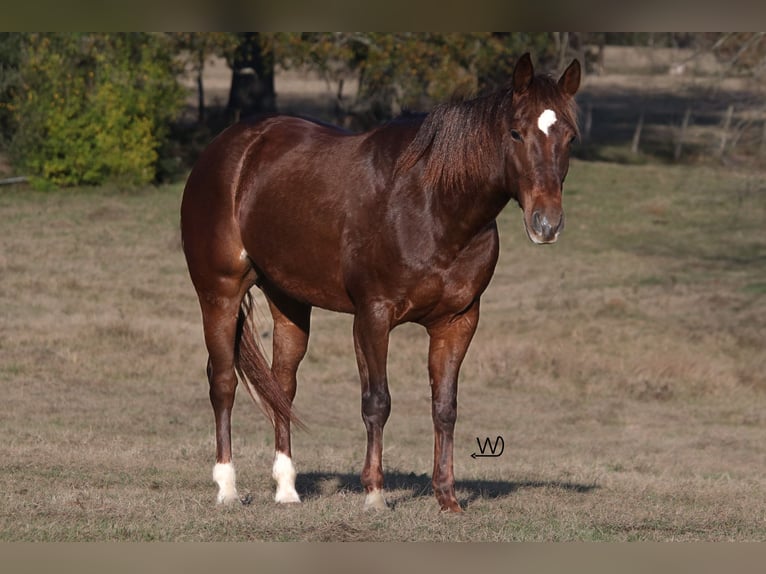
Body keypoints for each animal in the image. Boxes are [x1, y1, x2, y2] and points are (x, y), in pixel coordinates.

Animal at [182, 53, 584, 512]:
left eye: (570, 136)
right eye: (516, 132)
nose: (546, 224)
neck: (432, 206)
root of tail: (228, 148)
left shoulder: (458, 322)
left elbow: (445, 406)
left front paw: (447, 498)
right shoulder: (373, 316)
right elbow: (377, 401)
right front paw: (375, 493)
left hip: (289, 300)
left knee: (281, 385)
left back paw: (286, 489)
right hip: (219, 293)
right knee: (223, 382)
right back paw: (227, 487)